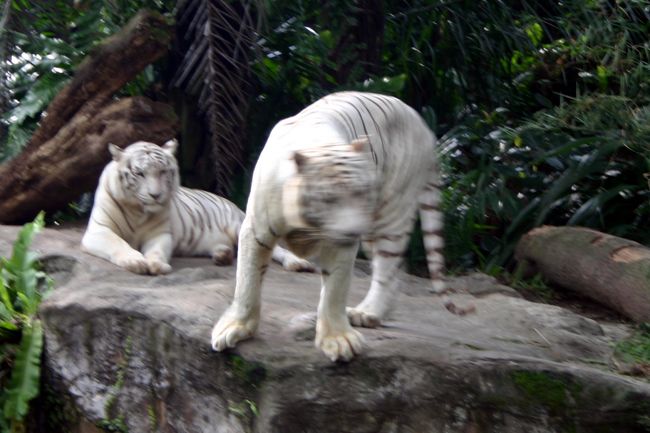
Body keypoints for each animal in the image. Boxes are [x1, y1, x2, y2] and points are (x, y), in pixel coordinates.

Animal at [81, 140, 314, 276]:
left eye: (163, 171)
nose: (156, 195)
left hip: (240, 226)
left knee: (276, 249)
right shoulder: (98, 230)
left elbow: (157, 250)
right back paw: (222, 255)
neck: (138, 210)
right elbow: (118, 243)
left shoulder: (160, 234)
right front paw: (135, 261)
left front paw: (156, 265)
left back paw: (297, 263)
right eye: (140, 173)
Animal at [210, 90, 442, 362]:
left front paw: (339, 340)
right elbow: (247, 281)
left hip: (390, 213)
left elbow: (334, 290)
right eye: (329, 199)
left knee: (387, 267)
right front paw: (235, 328)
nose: (353, 231)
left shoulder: (340, 243)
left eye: (362, 192)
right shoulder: (256, 229)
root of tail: (423, 125)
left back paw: (368, 313)